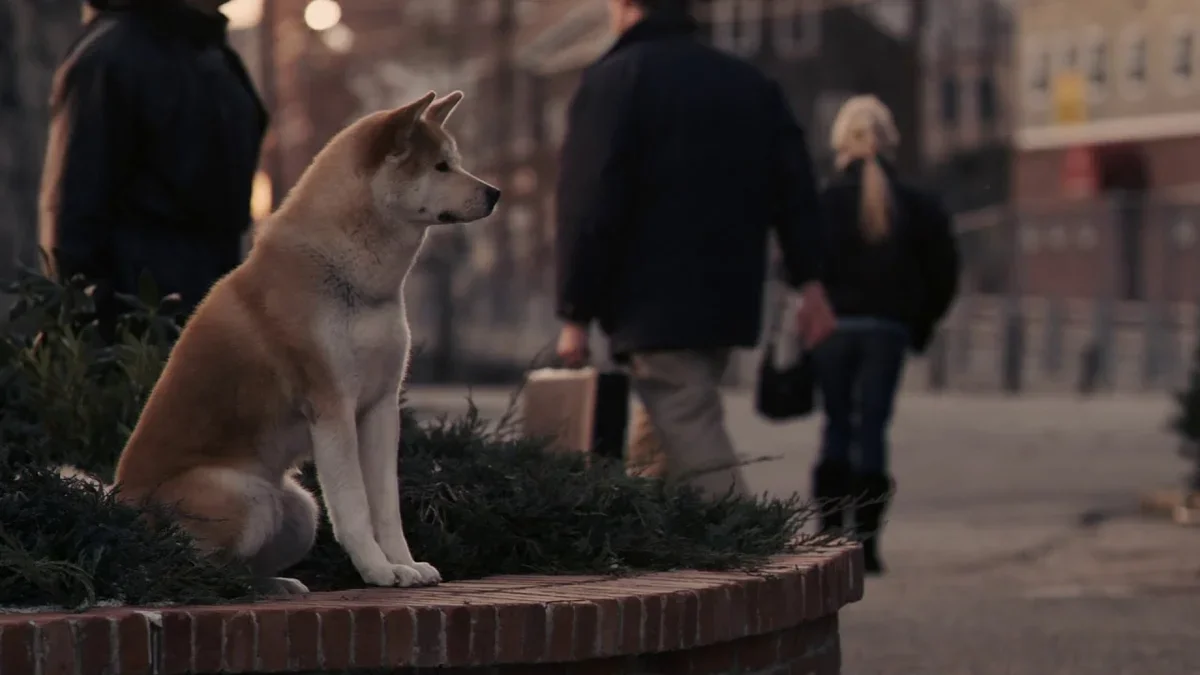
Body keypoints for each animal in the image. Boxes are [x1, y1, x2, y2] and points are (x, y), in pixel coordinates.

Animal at [112, 90, 501, 593]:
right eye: (440, 167)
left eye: (456, 162)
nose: (495, 193)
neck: (350, 276)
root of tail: (119, 505)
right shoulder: (332, 408)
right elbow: (354, 508)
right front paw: (378, 571)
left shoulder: (380, 407)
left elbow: (387, 507)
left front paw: (406, 565)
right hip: (246, 496)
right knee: (198, 568)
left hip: (300, 510)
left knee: (245, 563)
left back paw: (277, 586)